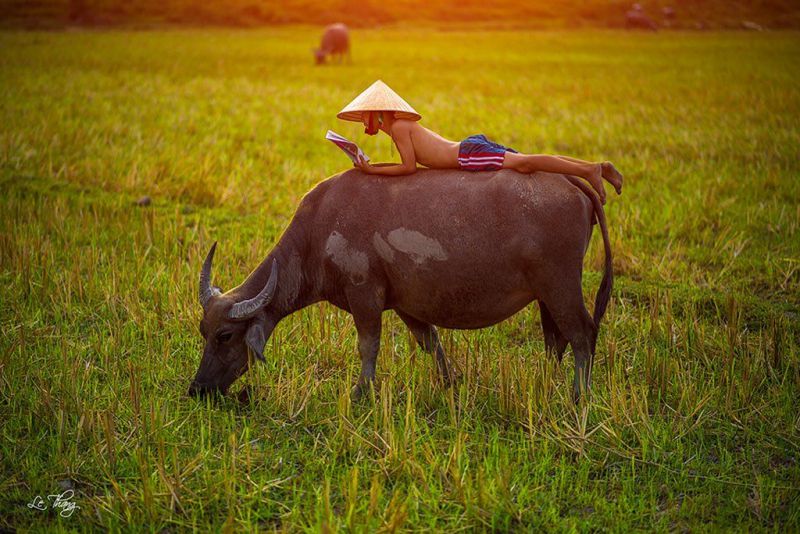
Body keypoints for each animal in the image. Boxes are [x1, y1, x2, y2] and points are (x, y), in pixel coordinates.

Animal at [192, 170, 612, 404]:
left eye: (225, 335)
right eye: (203, 331)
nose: (197, 390)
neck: (318, 231)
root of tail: (572, 183)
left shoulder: (365, 297)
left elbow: (368, 346)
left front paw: (361, 393)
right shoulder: (407, 306)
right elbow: (431, 343)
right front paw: (450, 383)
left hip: (560, 286)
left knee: (582, 334)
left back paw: (580, 396)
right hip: (546, 295)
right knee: (556, 341)